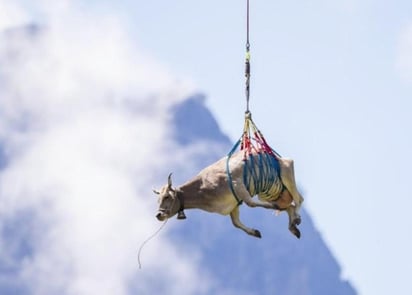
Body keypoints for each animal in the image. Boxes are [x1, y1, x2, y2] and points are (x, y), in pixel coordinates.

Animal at [153, 151, 304, 239]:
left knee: (298, 199)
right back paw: (293, 227)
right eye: (157, 199)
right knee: (291, 204)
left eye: (167, 196)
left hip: (286, 170)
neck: (203, 188)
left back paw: (295, 218)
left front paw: (277, 208)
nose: (159, 215)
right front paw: (255, 232)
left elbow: (251, 203)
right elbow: (235, 223)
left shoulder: (238, 186)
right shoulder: (233, 204)